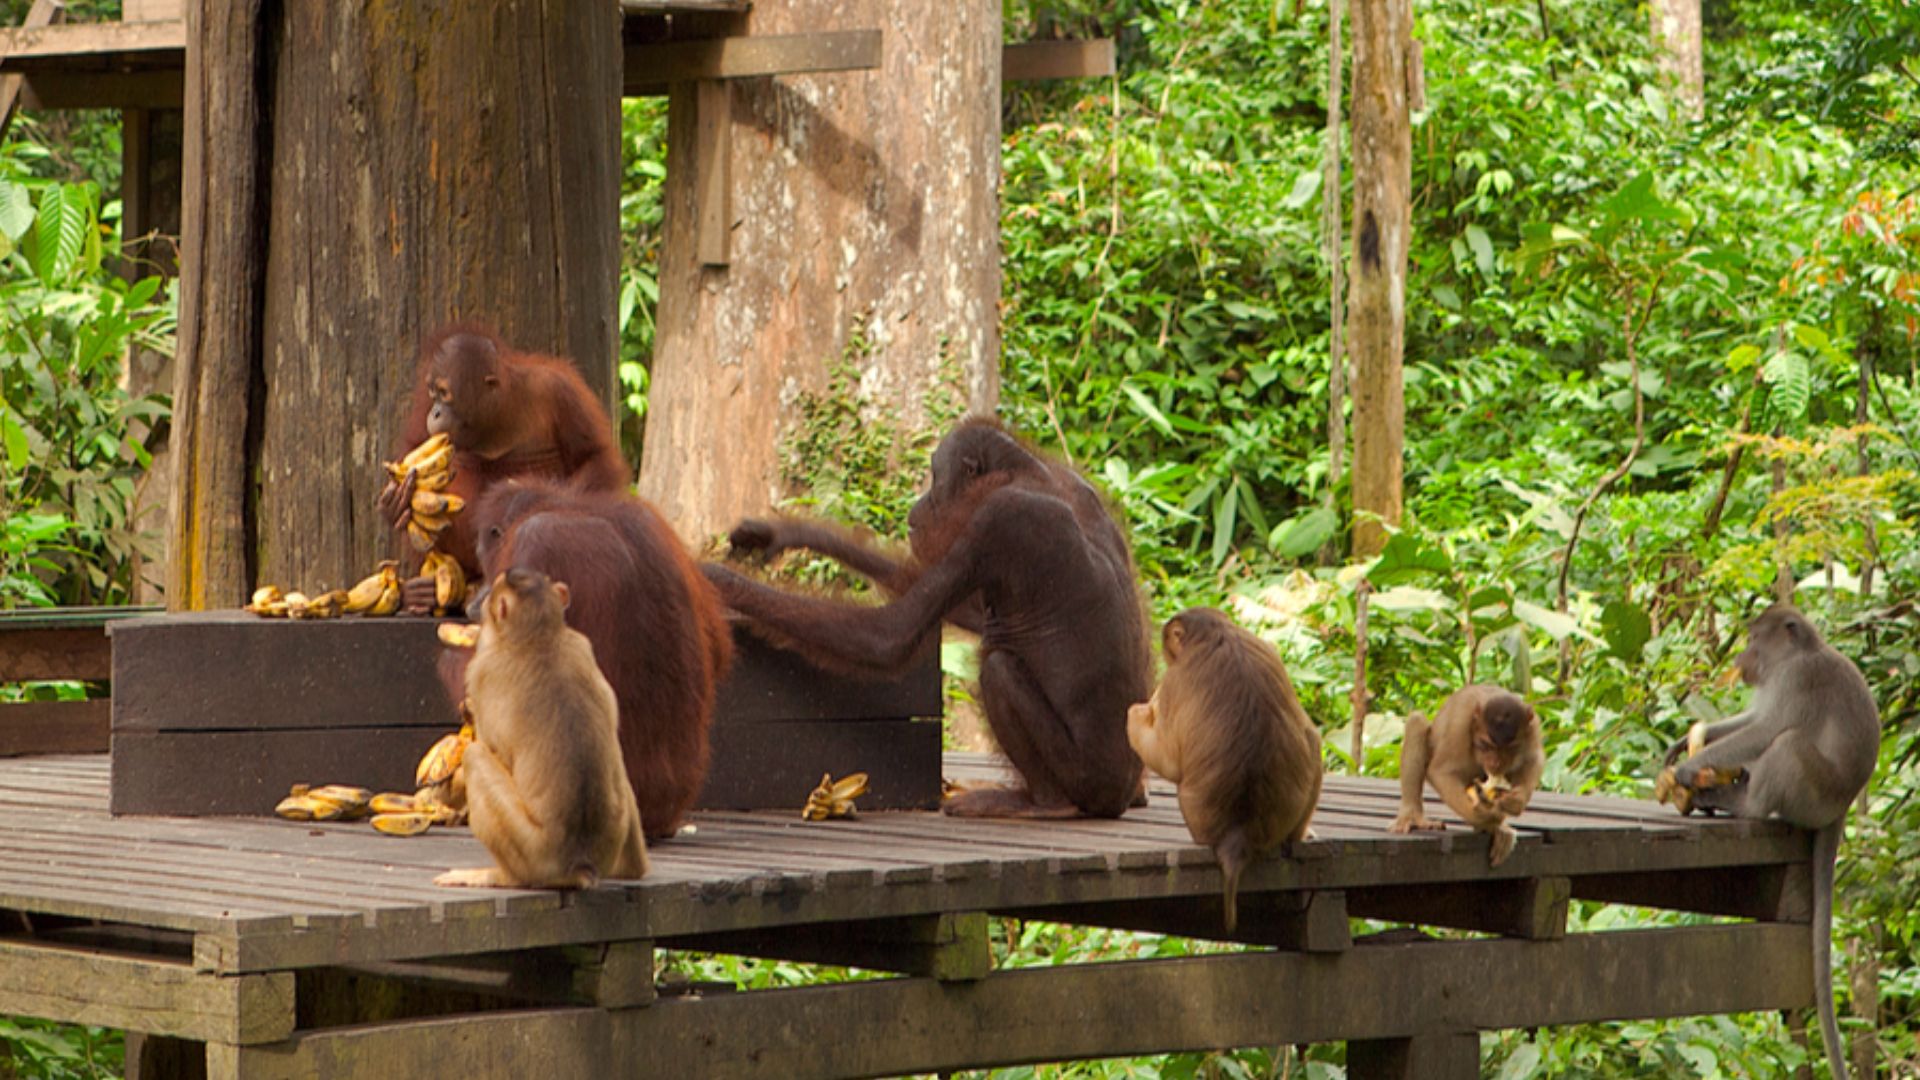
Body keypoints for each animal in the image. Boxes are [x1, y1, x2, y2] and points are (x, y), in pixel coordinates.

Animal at [435, 568, 650, 890]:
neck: (539, 637)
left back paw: (499, 876)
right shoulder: (582, 644)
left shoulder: (482, 670)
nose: (477, 604)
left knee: (475, 756)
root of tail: (577, 863)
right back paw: (633, 869)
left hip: (531, 852)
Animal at [1126, 608, 1323, 932]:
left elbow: (1167, 759)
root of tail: (1237, 835)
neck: (1217, 633)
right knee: (1312, 740)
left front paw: (1137, 712)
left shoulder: (1174, 681)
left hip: (1200, 826)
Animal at [1388, 685, 1543, 868]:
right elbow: (1441, 772)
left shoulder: (1533, 727)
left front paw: (1515, 801)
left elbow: (1533, 760)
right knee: (1416, 723)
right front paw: (1482, 815)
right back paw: (1413, 817)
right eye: (1485, 744)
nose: (1495, 763)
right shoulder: (1459, 723)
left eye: (1511, 748)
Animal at [1659, 602, 1879, 1080]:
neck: (1796, 654)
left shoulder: (1798, 679)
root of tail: (1841, 806)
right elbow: (1753, 722)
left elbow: (1766, 729)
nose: (1743, 658)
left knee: (1788, 744)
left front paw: (1690, 767)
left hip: (1814, 792)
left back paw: (1742, 803)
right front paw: (1687, 740)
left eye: (1754, 638)